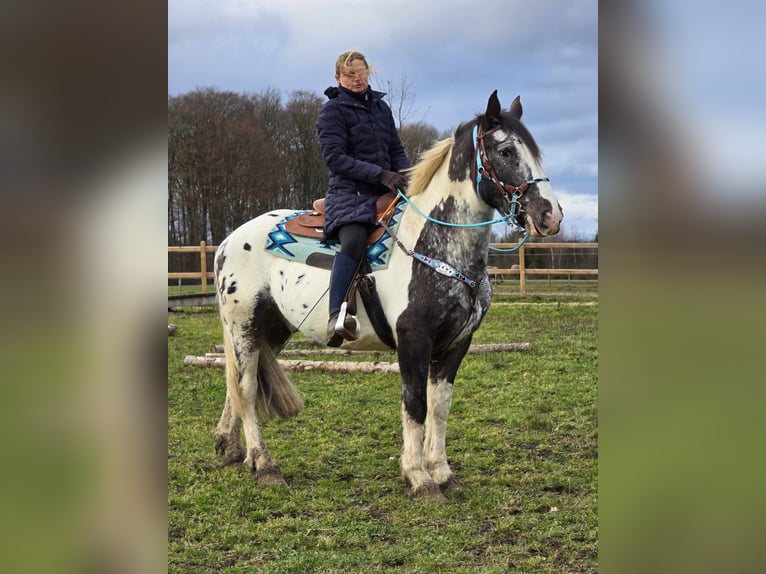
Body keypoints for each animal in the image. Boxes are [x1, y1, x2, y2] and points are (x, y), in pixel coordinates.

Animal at [213, 92, 560, 502]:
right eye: (506, 151)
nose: (550, 215)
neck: (434, 246)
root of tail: (229, 241)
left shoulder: (457, 343)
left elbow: (440, 406)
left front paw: (443, 473)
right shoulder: (414, 339)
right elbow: (415, 405)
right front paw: (419, 478)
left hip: (274, 329)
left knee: (238, 383)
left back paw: (233, 451)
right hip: (244, 325)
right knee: (247, 389)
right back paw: (265, 465)